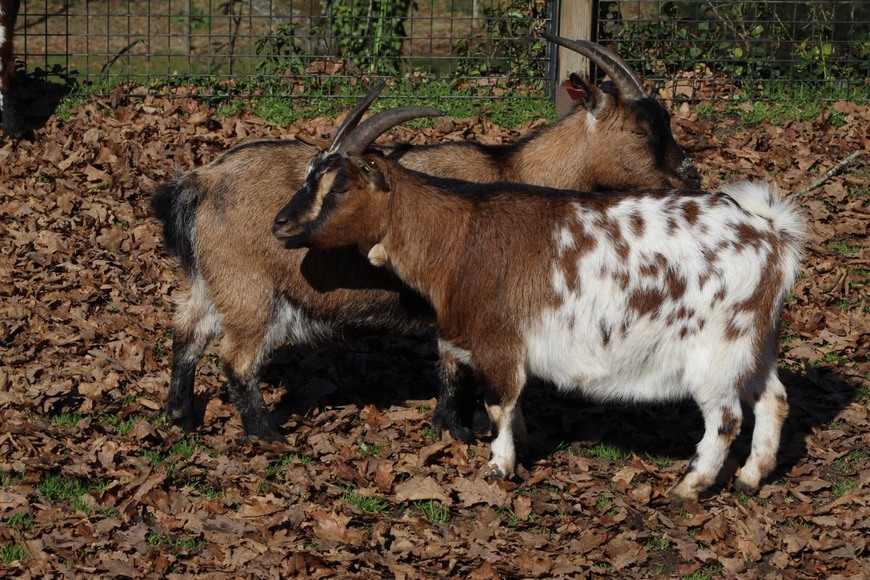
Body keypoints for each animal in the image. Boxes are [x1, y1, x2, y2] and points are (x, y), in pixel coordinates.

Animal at [276, 143, 808, 500]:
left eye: (340, 185)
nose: (281, 225)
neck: (458, 239)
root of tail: (770, 234)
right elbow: (512, 406)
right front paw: (523, 444)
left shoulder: (498, 343)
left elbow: (498, 403)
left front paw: (499, 466)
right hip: (756, 343)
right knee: (774, 400)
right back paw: (750, 477)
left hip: (717, 352)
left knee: (725, 418)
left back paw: (691, 485)